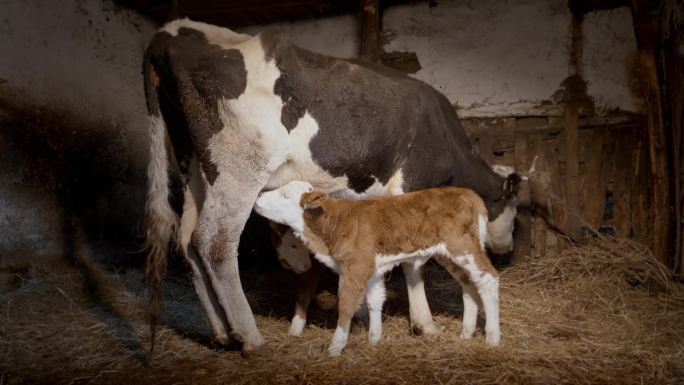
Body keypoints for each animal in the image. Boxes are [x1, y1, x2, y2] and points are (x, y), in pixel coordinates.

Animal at [254, 180, 500, 354]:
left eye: (285, 195)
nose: (258, 197)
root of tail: (468, 193)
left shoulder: (356, 267)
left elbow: (346, 305)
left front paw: (335, 348)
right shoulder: (372, 268)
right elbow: (374, 301)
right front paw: (374, 340)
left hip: (463, 246)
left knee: (488, 278)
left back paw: (492, 337)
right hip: (448, 254)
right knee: (469, 284)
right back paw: (466, 333)